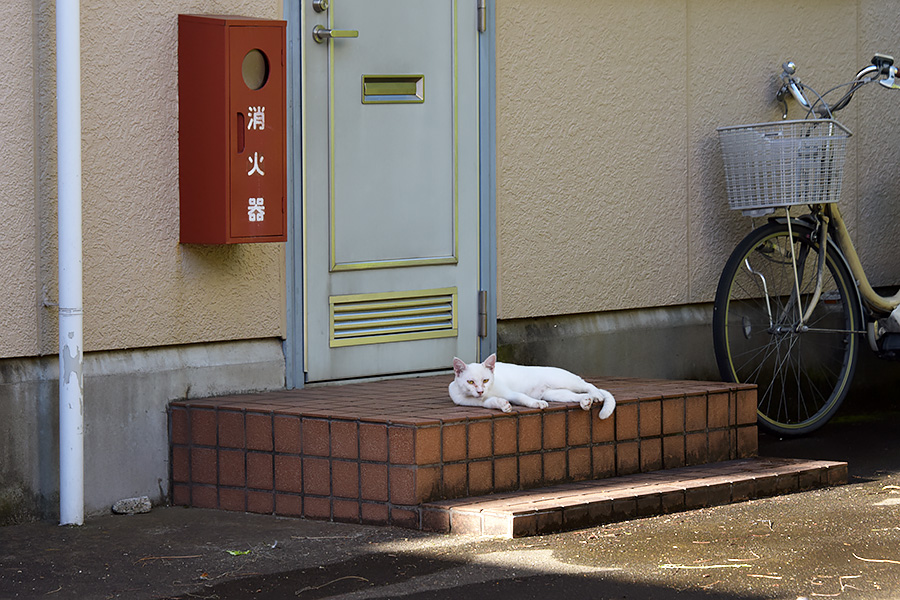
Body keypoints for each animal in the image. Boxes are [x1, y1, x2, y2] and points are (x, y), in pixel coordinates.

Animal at [446, 354, 616, 420]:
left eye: (486, 380)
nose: (480, 390)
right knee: (575, 395)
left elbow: (522, 398)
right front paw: (504, 406)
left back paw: (596, 395)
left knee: (587, 384)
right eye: (470, 382)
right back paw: (586, 401)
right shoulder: (483, 403)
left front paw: (537, 404)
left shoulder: (511, 393)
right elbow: (493, 402)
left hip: (564, 380)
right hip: (555, 394)